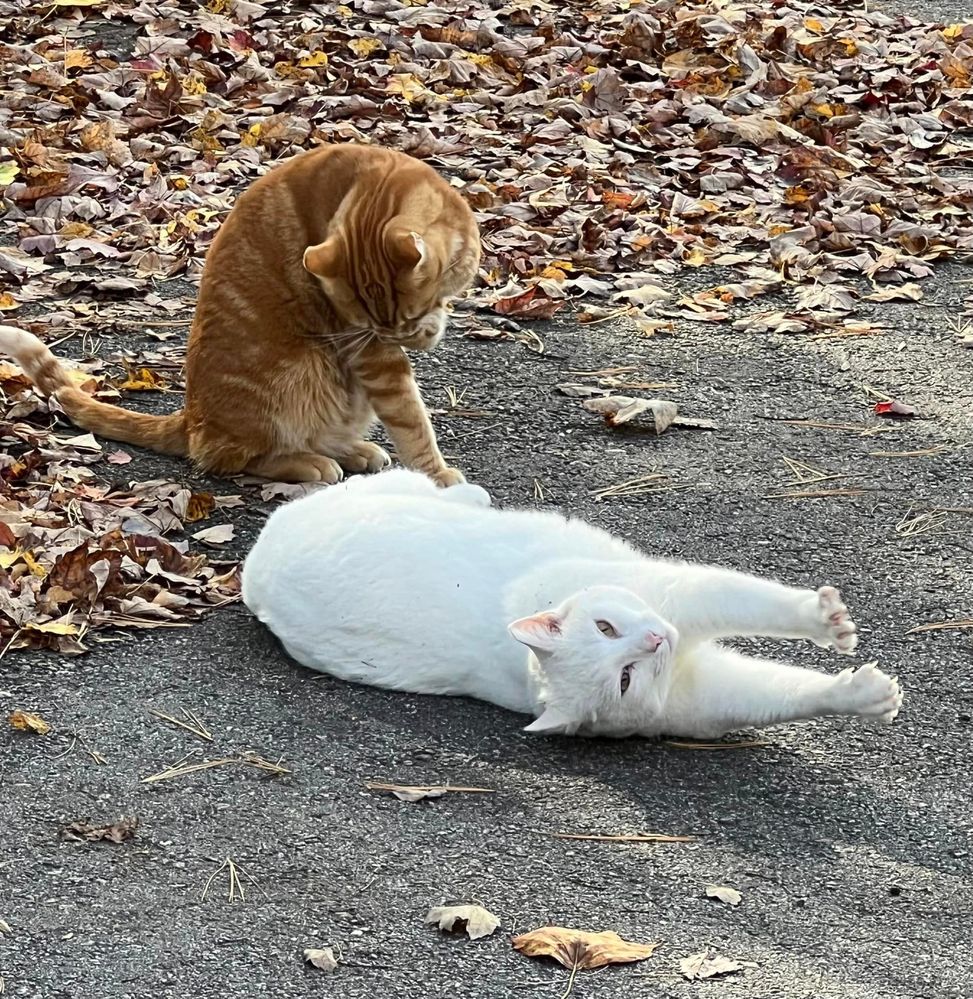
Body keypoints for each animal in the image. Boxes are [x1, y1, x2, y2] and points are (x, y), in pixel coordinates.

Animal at [0, 144, 480, 484]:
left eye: (401, 320)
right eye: (374, 326)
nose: (400, 335)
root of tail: (190, 419)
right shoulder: (368, 353)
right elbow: (410, 418)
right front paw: (437, 475)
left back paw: (352, 450)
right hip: (301, 372)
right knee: (232, 457)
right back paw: (308, 462)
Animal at [243, 464, 904, 740]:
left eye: (606, 626)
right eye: (625, 678)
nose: (656, 640)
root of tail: (254, 564)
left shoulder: (671, 603)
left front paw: (837, 644)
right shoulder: (702, 682)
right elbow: (778, 682)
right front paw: (856, 680)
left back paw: (472, 494)